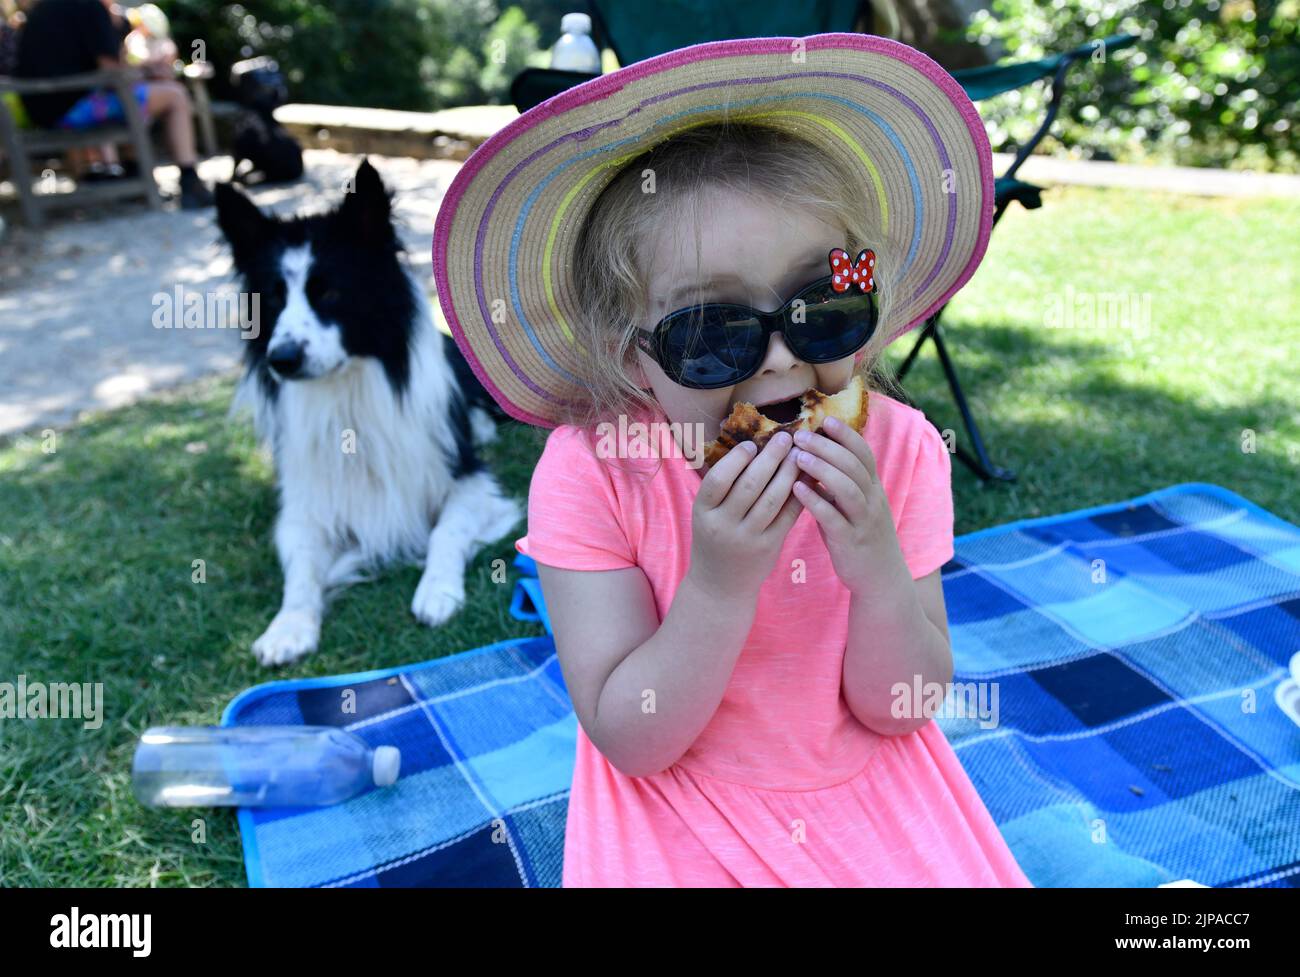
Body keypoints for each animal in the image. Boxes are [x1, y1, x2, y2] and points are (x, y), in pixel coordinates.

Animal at [215, 158, 520, 665]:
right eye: (274, 298)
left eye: (329, 293)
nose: (282, 359)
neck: (347, 394)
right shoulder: (304, 506)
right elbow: (300, 569)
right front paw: (288, 626)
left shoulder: (470, 482)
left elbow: (445, 531)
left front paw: (437, 591)